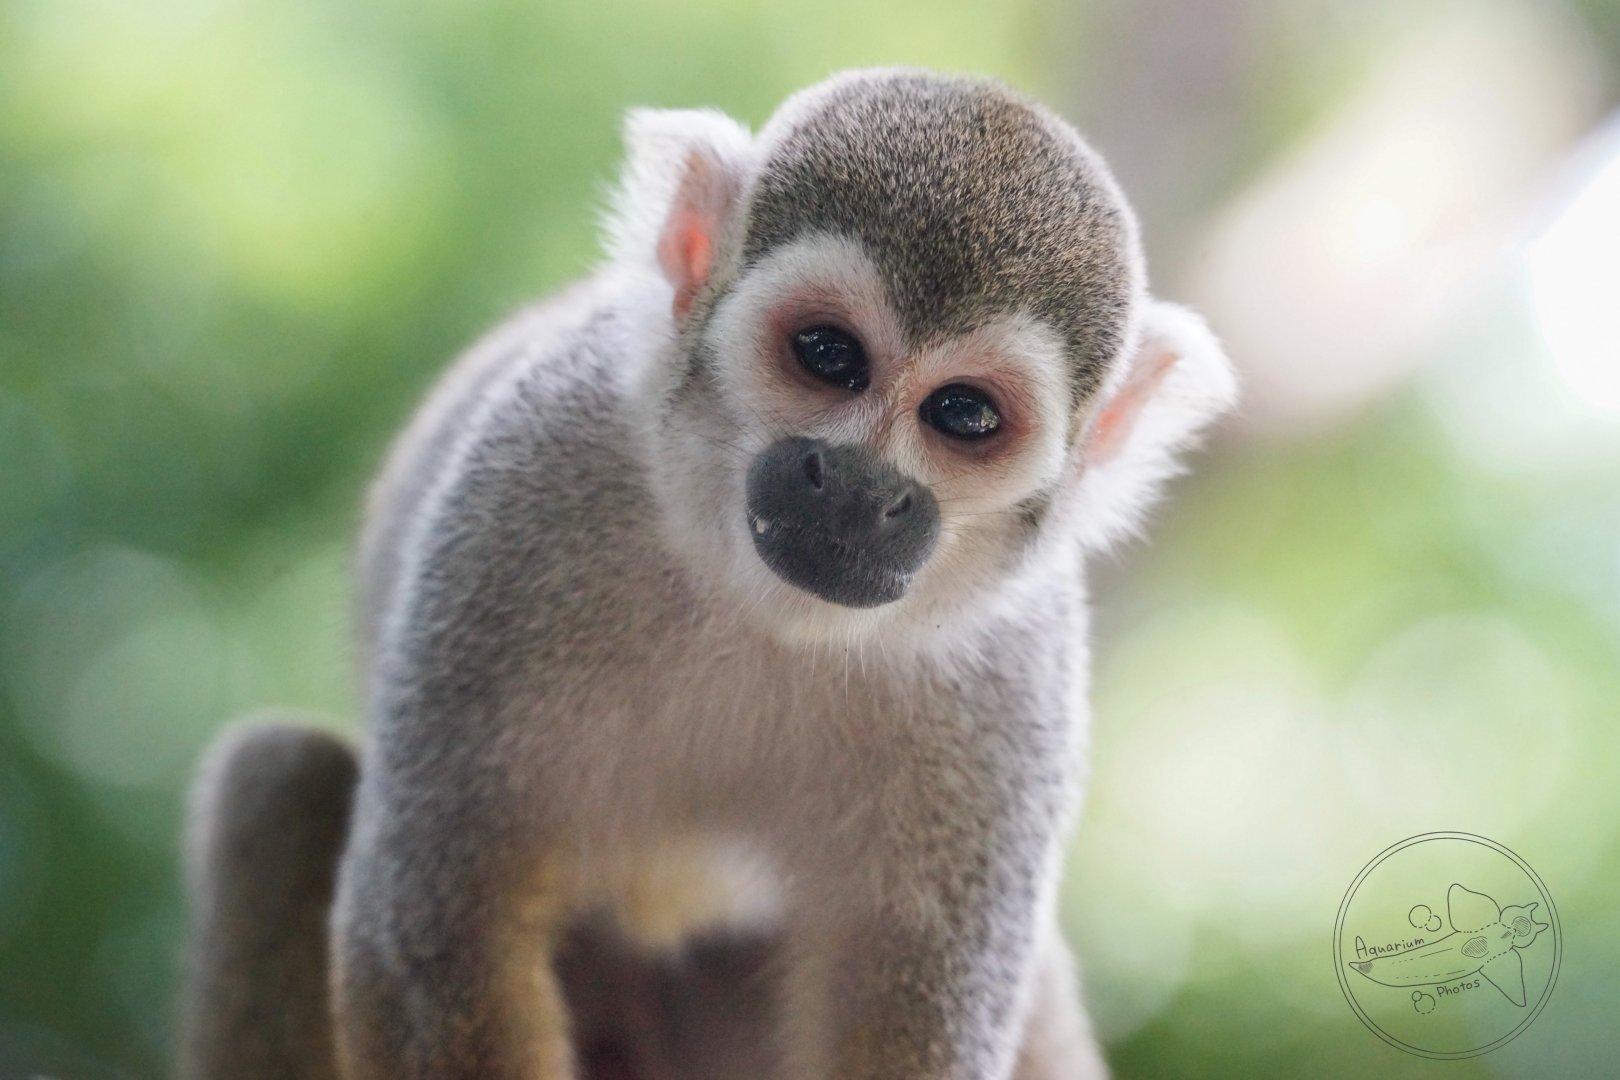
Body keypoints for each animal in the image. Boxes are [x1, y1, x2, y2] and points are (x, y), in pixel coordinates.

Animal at [180, 67, 1236, 1080]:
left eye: (965, 414)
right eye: (828, 355)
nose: (857, 488)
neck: (764, 608)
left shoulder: (1014, 676)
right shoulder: (522, 489)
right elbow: (436, 936)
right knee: (282, 774)